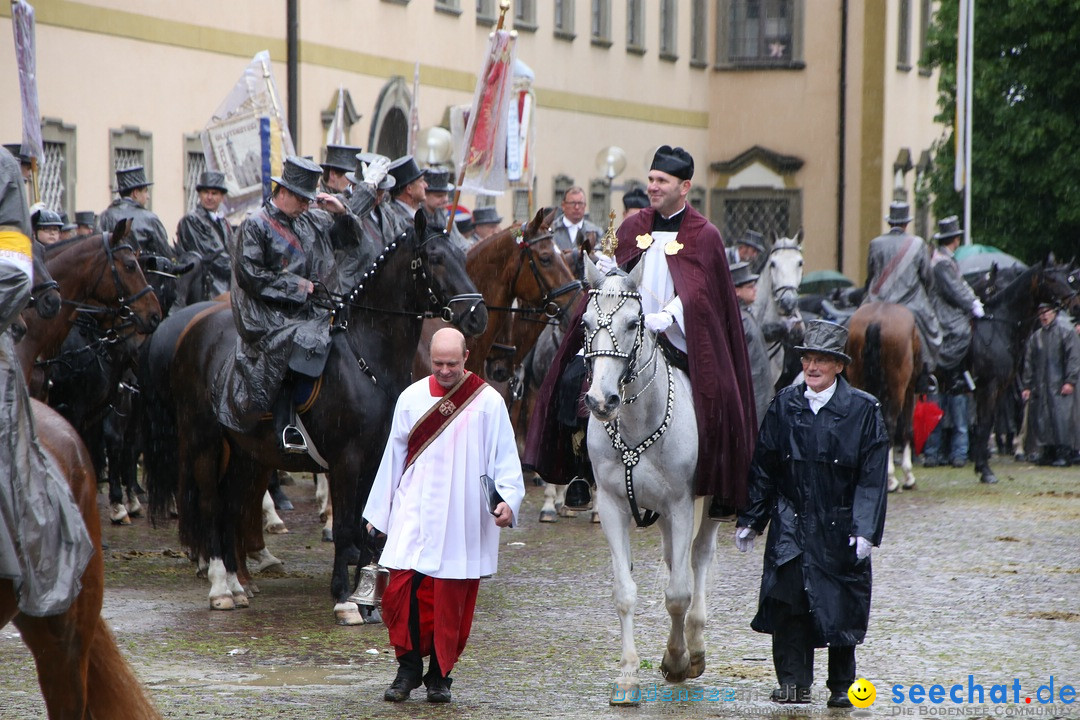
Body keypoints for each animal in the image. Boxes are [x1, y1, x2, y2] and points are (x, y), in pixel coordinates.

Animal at [578, 257, 721, 703]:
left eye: (632, 322)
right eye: (586, 322)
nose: (600, 401)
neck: (636, 422)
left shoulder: (681, 504)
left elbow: (678, 594)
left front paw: (676, 660)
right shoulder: (610, 505)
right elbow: (625, 593)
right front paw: (627, 675)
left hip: (710, 506)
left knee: (698, 559)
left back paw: (695, 647)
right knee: (676, 560)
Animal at [846, 302, 915, 492]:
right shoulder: (909, 390)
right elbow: (907, 429)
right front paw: (908, 476)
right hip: (897, 388)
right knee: (891, 425)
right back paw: (890, 478)